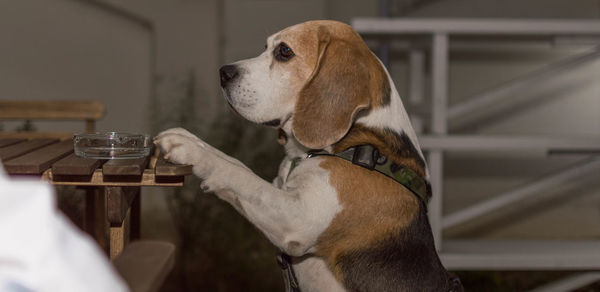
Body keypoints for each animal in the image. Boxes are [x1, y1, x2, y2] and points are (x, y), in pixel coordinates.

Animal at [156, 19, 464, 290]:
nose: (223, 73)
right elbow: (237, 164)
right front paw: (189, 139)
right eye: (266, 47)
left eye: (284, 51)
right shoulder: (280, 188)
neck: (359, 139)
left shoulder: (297, 218)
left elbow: (241, 176)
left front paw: (191, 152)